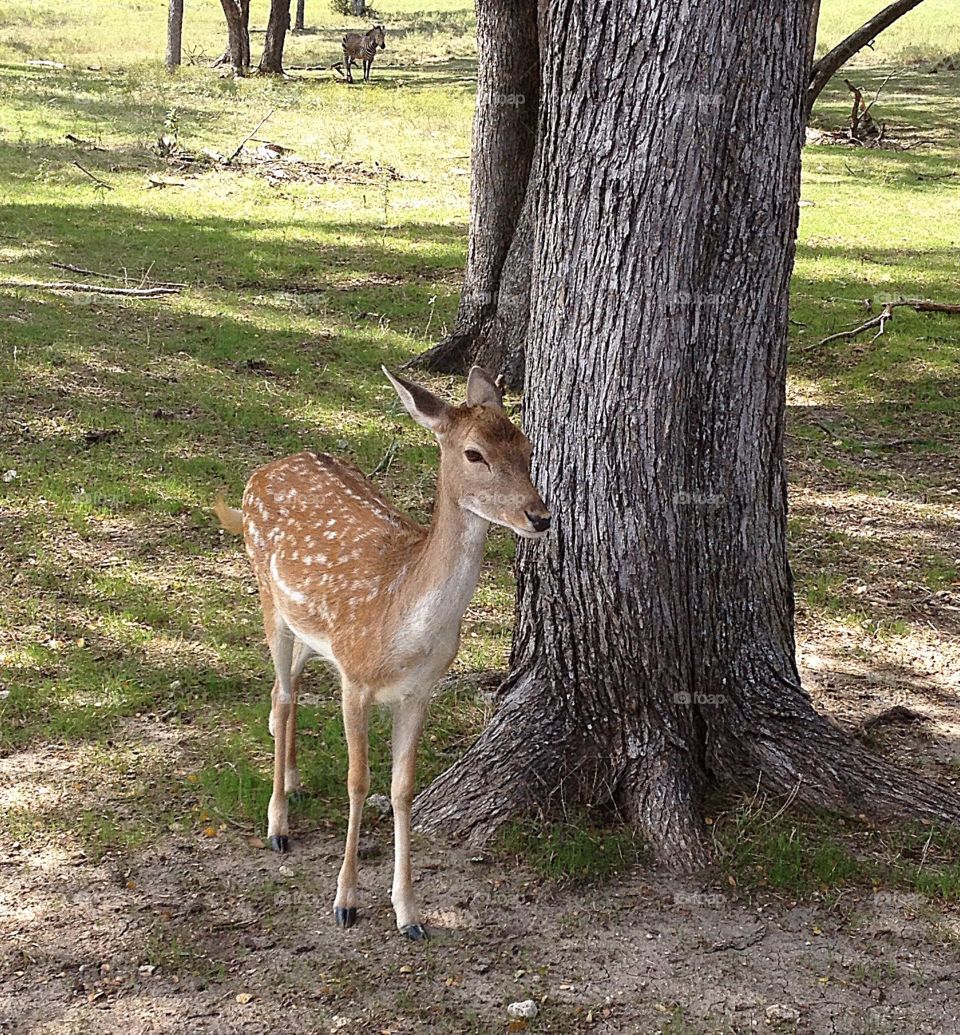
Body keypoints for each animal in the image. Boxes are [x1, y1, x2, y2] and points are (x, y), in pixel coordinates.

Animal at [214, 366, 550, 940]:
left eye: (526, 447)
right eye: (475, 454)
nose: (539, 515)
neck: (402, 625)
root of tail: (262, 471)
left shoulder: (418, 692)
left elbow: (401, 789)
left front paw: (409, 912)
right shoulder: (355, 680)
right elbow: (358, 783)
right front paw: (345, 901)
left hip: (311, 632)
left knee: (289, 687)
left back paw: (294, 780)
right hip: (269, 597)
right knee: (281, 692)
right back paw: (277, 823)